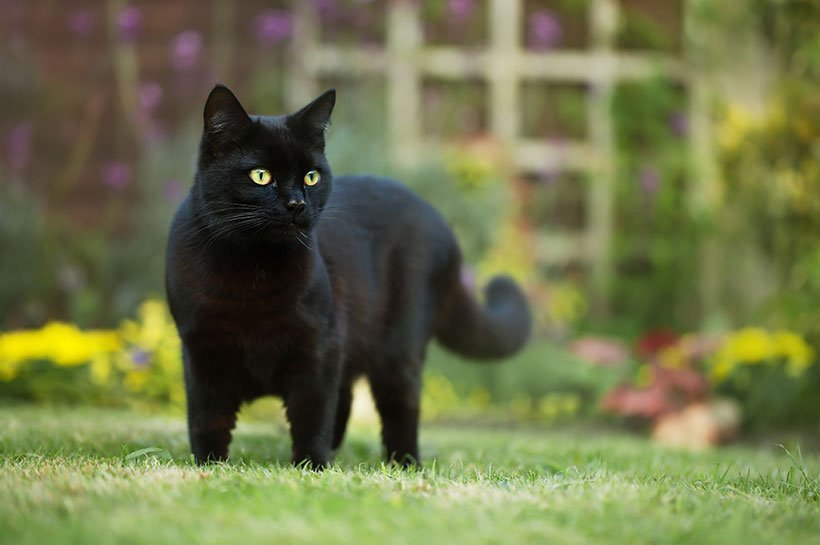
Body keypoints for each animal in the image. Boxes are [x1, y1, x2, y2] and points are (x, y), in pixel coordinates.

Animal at [167, 86, 532, 468]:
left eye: (311, 176)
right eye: (261, 175)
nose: (297, 203)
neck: (252, 273)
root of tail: (439, 221)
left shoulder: (319, 347)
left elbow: (312, 415)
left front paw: (311, 466)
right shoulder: (201, 350)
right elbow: (207, 417)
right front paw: (209, 465)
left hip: (397, 345)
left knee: (398, 405)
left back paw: (404, 464)